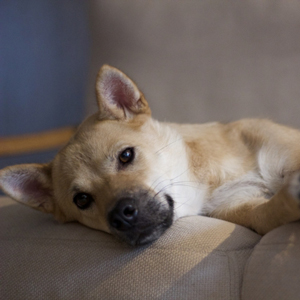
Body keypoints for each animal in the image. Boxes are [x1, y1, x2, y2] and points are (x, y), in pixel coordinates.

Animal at [0, 64, 300, 245]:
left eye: (126, 156)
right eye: (82, 200)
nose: (121, 217)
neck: (212, 174)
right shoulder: (242, 206)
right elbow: (270, 212)